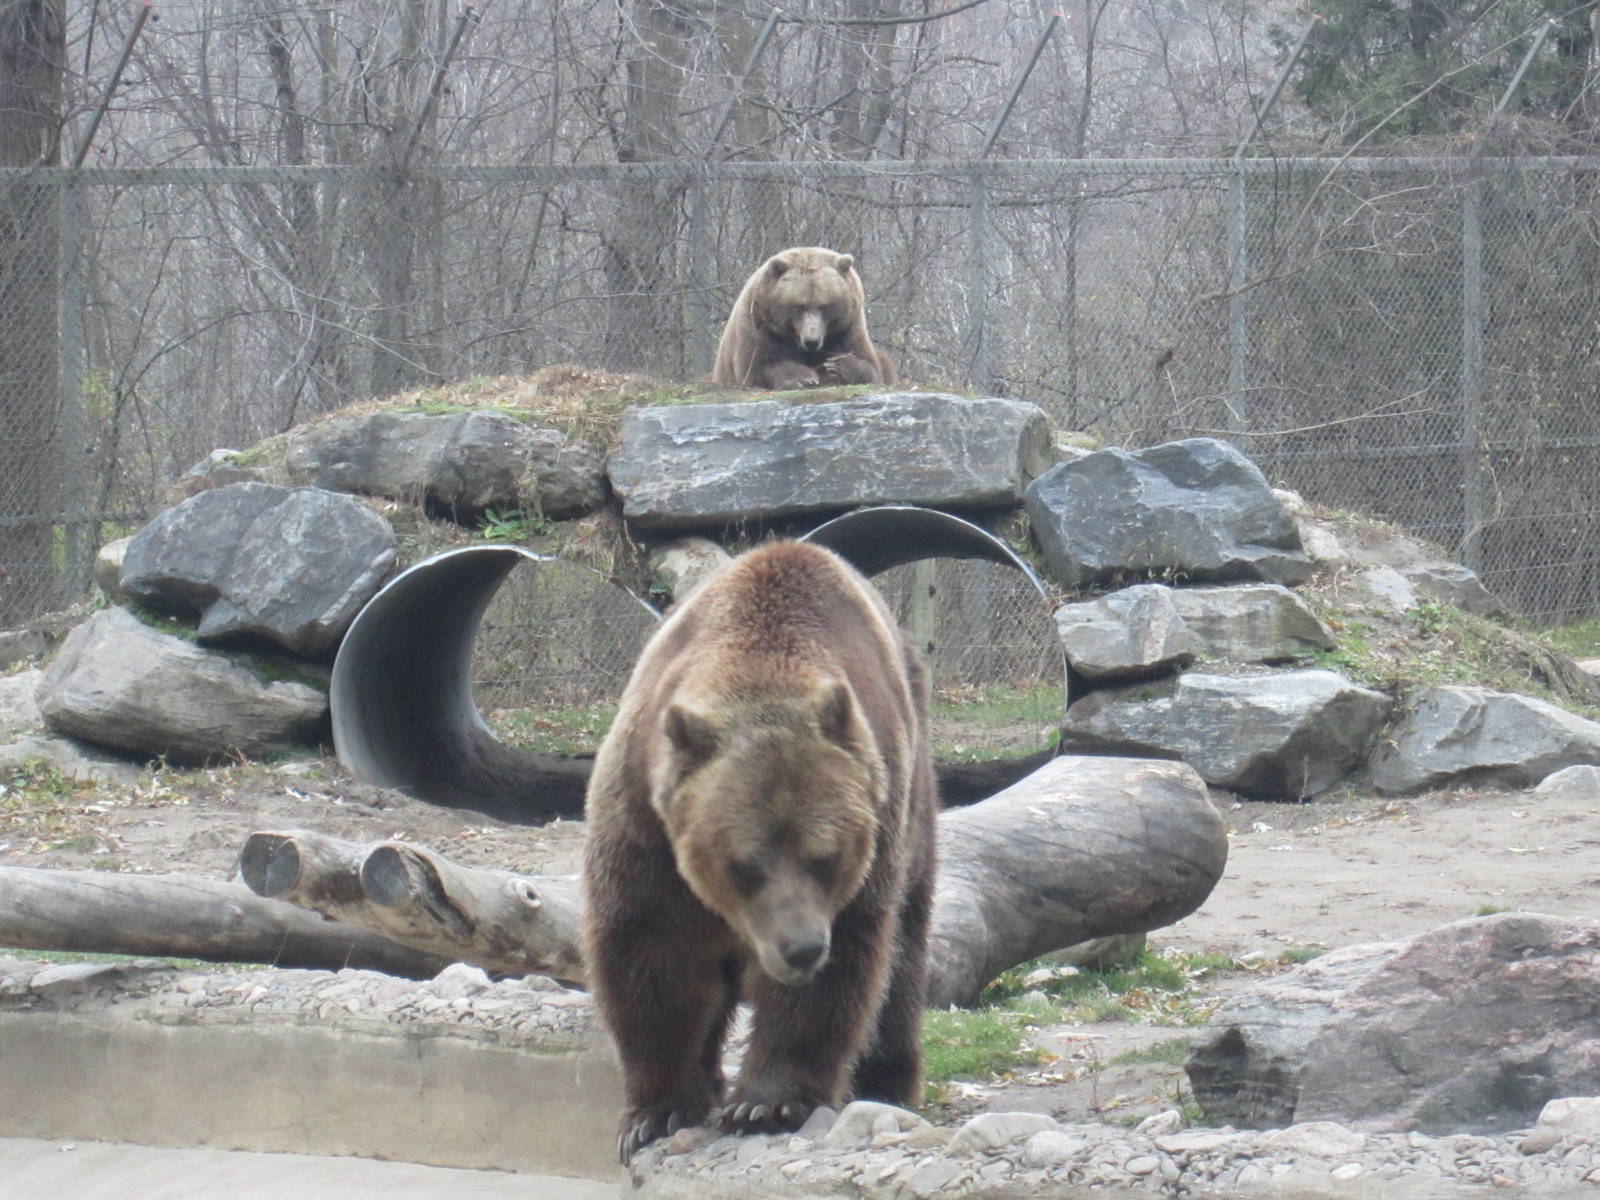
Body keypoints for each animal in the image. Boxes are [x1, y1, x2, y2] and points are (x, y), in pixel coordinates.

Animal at [581, 540, 936, 1164]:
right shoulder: (645, 827)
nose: (800, 949)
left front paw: (763, 1104)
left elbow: (838, 972)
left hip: (914, 800)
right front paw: (656, 1113)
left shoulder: (872, 819)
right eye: (743, 864)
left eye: (826, 856)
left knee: (903, 948)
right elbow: (651, 953)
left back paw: (887, 1080)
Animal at [710, 246, 897, 390]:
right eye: (799, 306)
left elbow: (871, 367)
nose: (811, 341)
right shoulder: (759, 330)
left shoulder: (847, 329)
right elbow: (757, 368)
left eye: (825, 306)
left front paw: (837, 365)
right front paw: (804, 378)